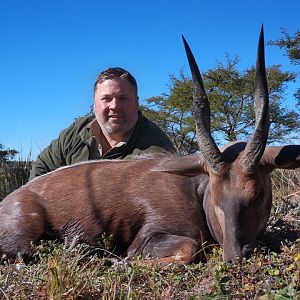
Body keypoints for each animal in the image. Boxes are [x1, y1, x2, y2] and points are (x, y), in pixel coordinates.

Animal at [0, 27, 298, 262]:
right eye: (215, 196)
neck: (195, 190)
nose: (234, 256)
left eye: (258, 195)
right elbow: (187, 249)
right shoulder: (148, 237)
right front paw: (117, 262)